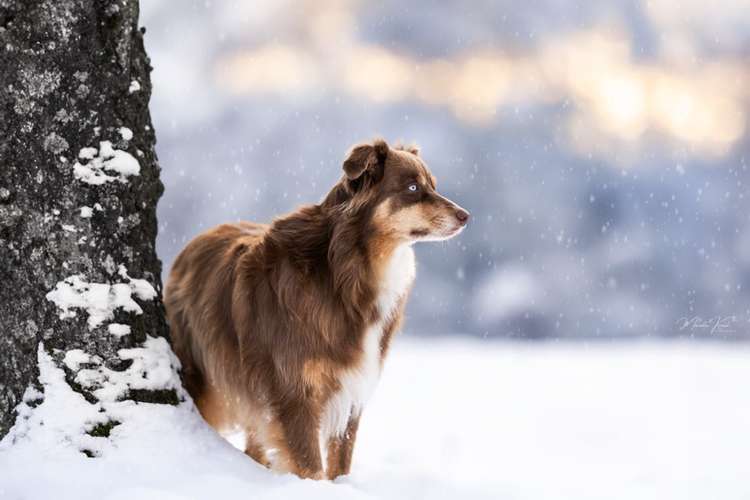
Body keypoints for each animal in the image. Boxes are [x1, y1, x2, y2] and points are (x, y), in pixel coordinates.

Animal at [164, 139, 470, 478]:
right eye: (413, 188)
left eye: (433, 185)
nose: (465, 216)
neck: (345, 271)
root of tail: (191, 246)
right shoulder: (293, 391)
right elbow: (311, 466)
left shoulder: (351, 391)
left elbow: (340, 463)